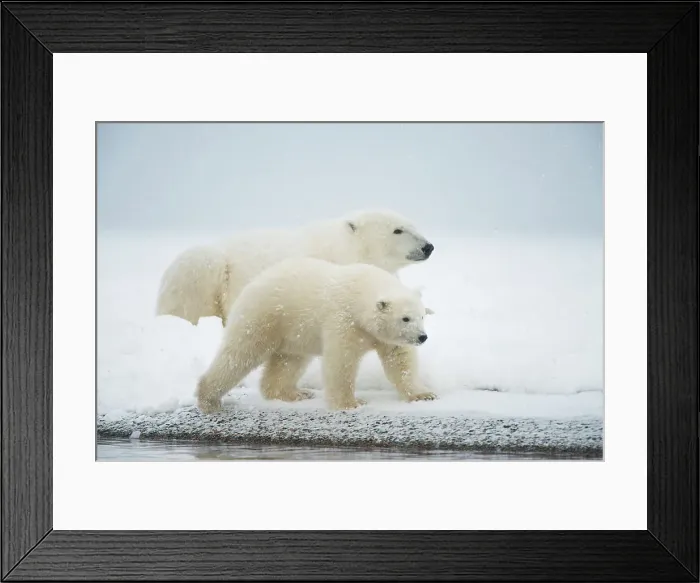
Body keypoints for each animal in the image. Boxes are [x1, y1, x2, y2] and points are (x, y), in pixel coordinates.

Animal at [195, 257, 437, 414]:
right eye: (405, 318)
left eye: (422, 316)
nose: (422, 337)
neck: (359, 292)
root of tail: (253, 282)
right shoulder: (343, 320)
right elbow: (341, 361)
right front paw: (350, 403)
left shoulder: (384, 336)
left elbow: (399, 361)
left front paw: (424, 395)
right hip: (264, 316)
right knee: (240, 354)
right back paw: (209, 399)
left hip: (293, 331)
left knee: (289, 361)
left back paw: (293, 393)